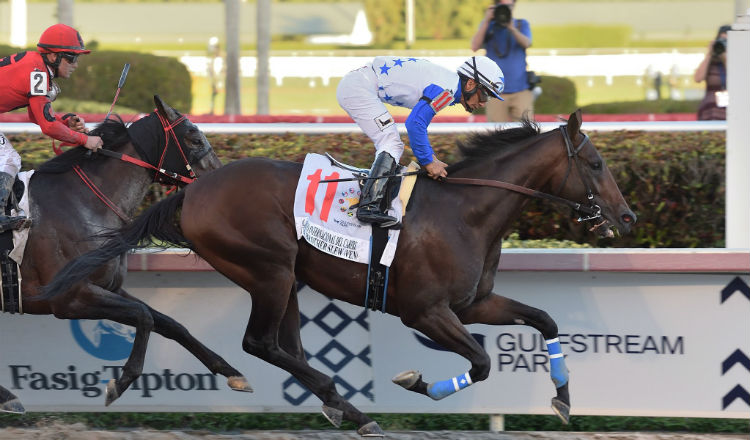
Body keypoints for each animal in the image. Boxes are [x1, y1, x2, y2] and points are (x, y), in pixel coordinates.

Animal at [7, 94, 251, 410]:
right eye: (195, 138)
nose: (223, 181)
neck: (83, 203)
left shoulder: (109, 287)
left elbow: (170, 323)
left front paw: (232, 372)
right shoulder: (69, 297)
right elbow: (144, 316)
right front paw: (120, 382)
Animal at [44, 111, 636, 436]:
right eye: (597, 165)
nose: (627, 217)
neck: (465, 212)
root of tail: (193, 190)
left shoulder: (473, 303)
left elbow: (545, 320)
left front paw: (563, 399)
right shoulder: (427, 310)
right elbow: (483, 361)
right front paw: (416, 379)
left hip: (286, 280)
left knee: (285, 347)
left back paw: (339, 405)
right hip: (269, 269)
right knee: (261, 343)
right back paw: (345, 404)